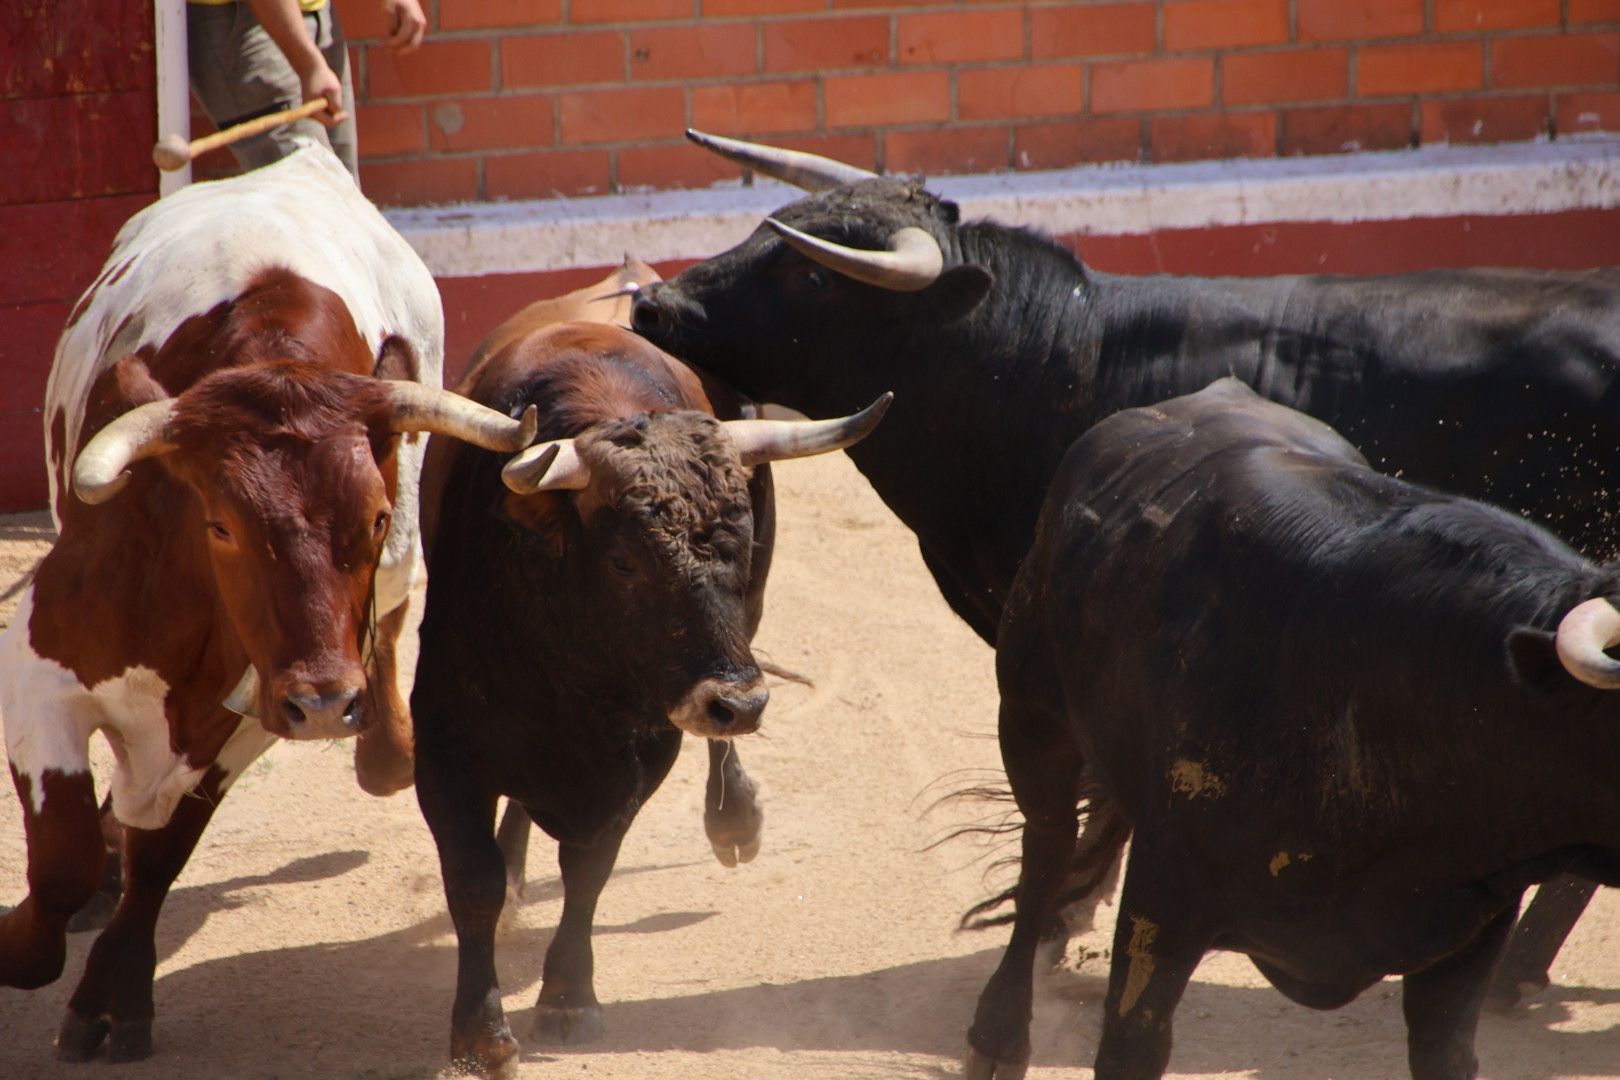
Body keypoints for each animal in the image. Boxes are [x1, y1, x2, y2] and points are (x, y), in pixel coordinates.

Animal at [0, 143, 534, 1062]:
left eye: (379, 514)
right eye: (220, 522)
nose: (325, 704)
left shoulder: (247, 717)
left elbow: (164, 851)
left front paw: (112, 995)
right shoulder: (37, 666)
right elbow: (64, 858)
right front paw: (27, 940)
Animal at [405, 317, 887, 1075]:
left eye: (744, 546)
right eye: (625, 561)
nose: (739, 704)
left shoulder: (644, 758)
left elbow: (589, 871)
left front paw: (568, 997)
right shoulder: (446, 751)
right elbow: (475, 882)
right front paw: (481, 1033)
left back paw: (734, 819)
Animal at [965, 375, 1620, 1075]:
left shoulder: (1471, 925)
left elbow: (1444, 1052)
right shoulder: (1164, 896)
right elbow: (1132, 1044)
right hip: (1032, 716)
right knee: (1046, 853)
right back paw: (997, 1039)